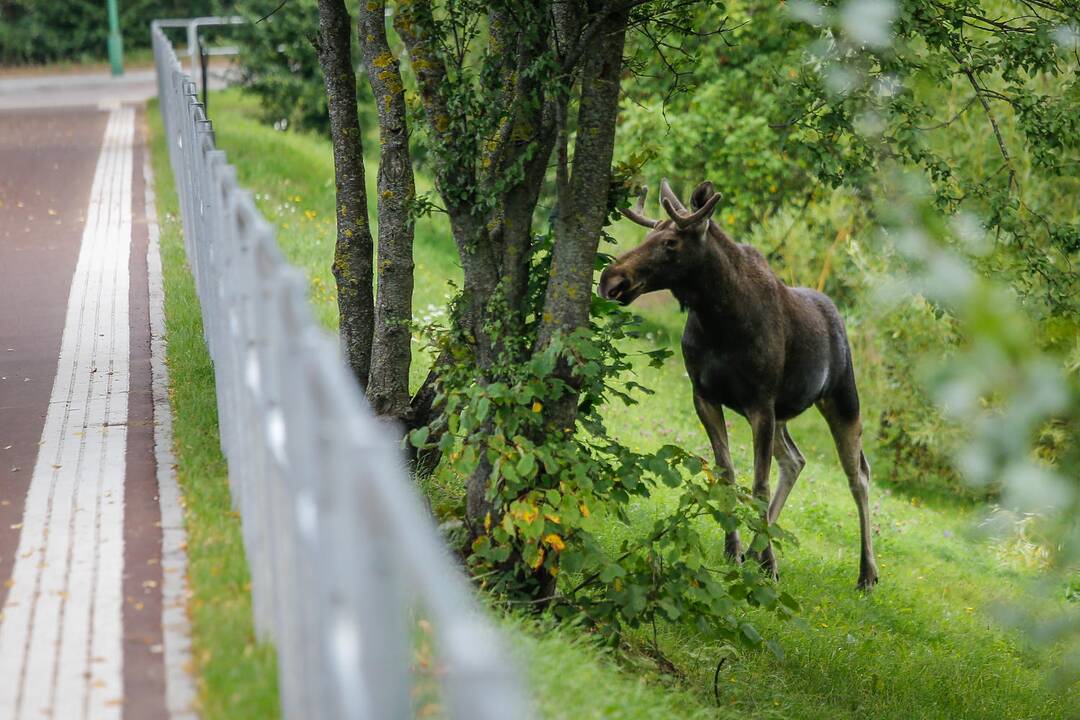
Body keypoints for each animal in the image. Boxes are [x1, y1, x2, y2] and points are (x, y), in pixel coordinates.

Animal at [600, 181, 876, 591]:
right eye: (650, 234)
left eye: (670, 243)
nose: (611, 278)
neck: (719, 316)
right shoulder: (705, 395)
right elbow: (727, 473)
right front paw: (736, 550)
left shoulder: (760, 402)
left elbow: (758, 485)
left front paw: (769, 565)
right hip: (783, 414)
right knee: (795, 460)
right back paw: (758, 545)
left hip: (842, 398)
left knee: (858, 476)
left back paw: (867, 573)